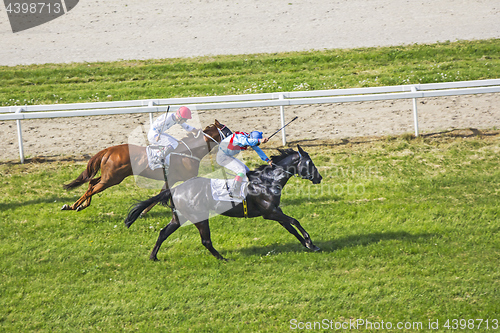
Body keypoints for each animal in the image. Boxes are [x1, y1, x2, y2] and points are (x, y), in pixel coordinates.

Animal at [60, 120, 230, 211]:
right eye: (227, 131)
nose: (236, 137)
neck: (189, 152)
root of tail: (109, 150)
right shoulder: (188, 178)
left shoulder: (171, 179)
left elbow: (159, 195)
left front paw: (143, 211)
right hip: (112, 178)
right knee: (92, 188)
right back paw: (72, 206)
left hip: (109, 176)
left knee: (92, 183)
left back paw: (81, 205)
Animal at [123, 144, 322, 260]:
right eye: (309, 163)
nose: (319, 177)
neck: (267, 181)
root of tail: (175, 190)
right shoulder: (269, 212)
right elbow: (295, 221)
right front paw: (310, 242)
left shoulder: (275, 211)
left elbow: (291, 228)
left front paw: (309, 245)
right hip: (199, 217)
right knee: (206, 241)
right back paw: (222, 259)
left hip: (178, 217)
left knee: (163, 232)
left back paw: (153, 256)